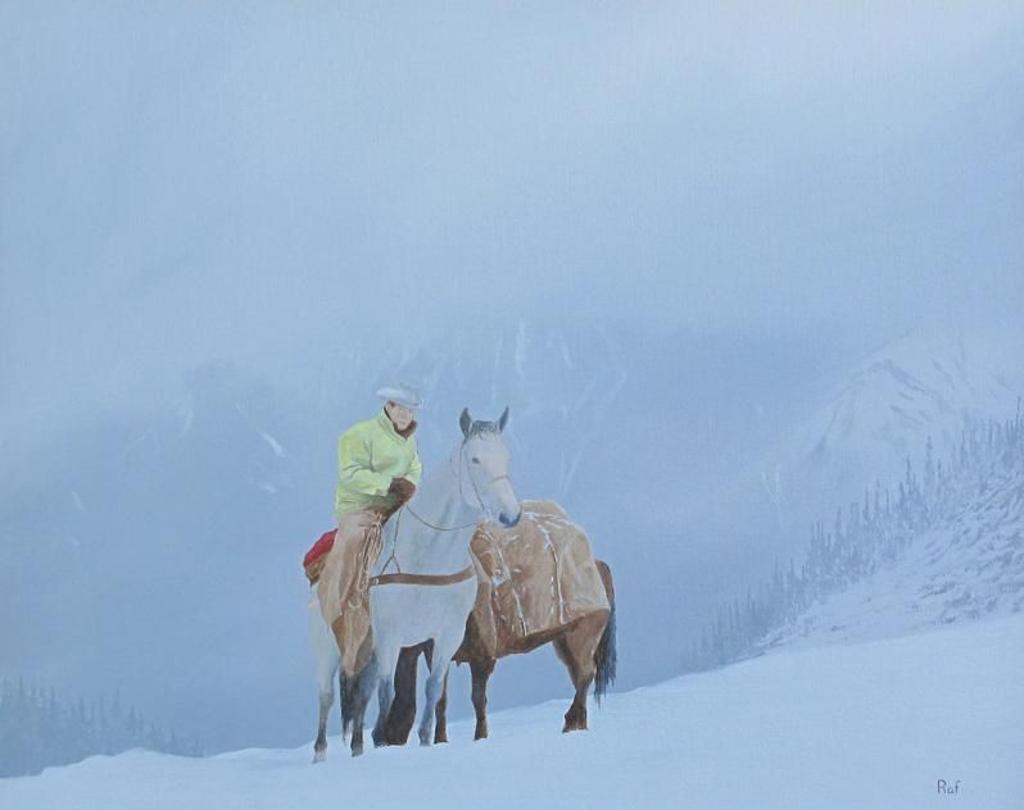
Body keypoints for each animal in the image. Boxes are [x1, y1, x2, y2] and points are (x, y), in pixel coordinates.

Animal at [309, 409, 520, 761]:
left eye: (506, 456)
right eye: (475, 459)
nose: (510, 515)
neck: (429, 553)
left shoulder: (447, 636)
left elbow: (432, 689)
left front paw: (423, 740)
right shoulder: (390, 636)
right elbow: (387, 692)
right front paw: (382, 740)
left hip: (365, 647)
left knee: (360, 695)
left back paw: (357, 748)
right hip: (329, 646)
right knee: (326, 697)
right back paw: (321, 753)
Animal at [350, 561, 614, 745]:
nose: (386, 737)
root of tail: (599, 567)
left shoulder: (483, 657)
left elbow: (478, 698)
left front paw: (480, 736)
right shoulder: (436, 653)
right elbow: (441, 699)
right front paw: (440, 740)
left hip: (582, 637)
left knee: (585, 674)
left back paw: (570, 721)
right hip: (564, 642)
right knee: (579, 676)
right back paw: (578, 723)